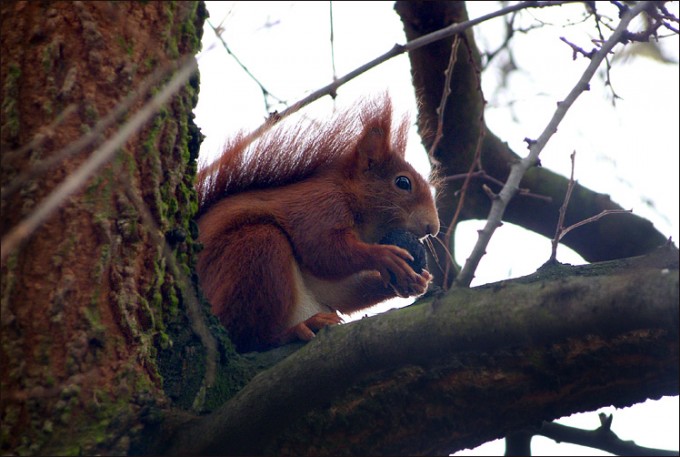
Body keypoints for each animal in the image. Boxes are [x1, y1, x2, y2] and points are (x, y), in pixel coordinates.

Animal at [195, 95, 440, 352]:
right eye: (403, 182)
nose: (433, 228)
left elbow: (344, 292)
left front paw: (417, 280)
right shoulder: (320, 205)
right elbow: (322, 251)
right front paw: (384, 256)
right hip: (255, 250)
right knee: (246, 338)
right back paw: (295, 330)